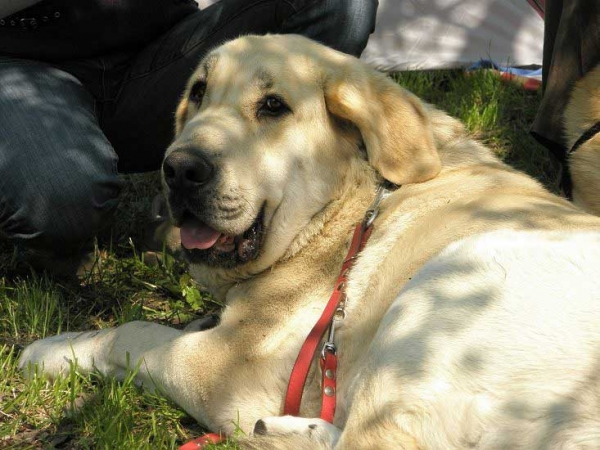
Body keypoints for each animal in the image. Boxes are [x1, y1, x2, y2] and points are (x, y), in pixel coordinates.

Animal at [18, 36, 600, 450]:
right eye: (198, 92)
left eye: (273, 107)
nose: (179, 169)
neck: (354, 204)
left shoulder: (230, 368)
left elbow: (133, 332)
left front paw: (50, 350)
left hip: (448, 284)